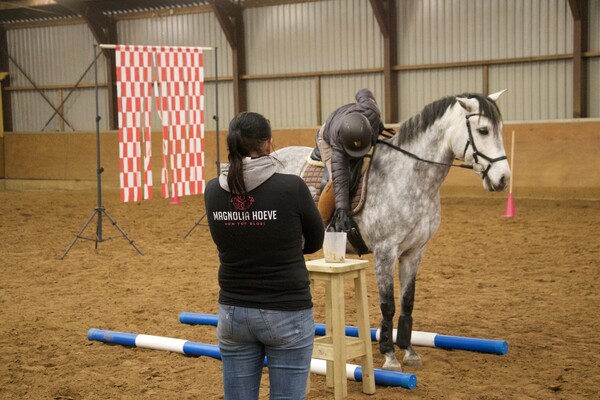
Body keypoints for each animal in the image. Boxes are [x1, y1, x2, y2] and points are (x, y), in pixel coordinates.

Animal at [272, 90, 510, 372]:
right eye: (483, 130)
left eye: (499, 129)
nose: (503, 178)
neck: (409, 177)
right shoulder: (385, 252)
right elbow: (388, 304)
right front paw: (389, 355)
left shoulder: (414, 252)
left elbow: (407, 302)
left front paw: (408, 351)